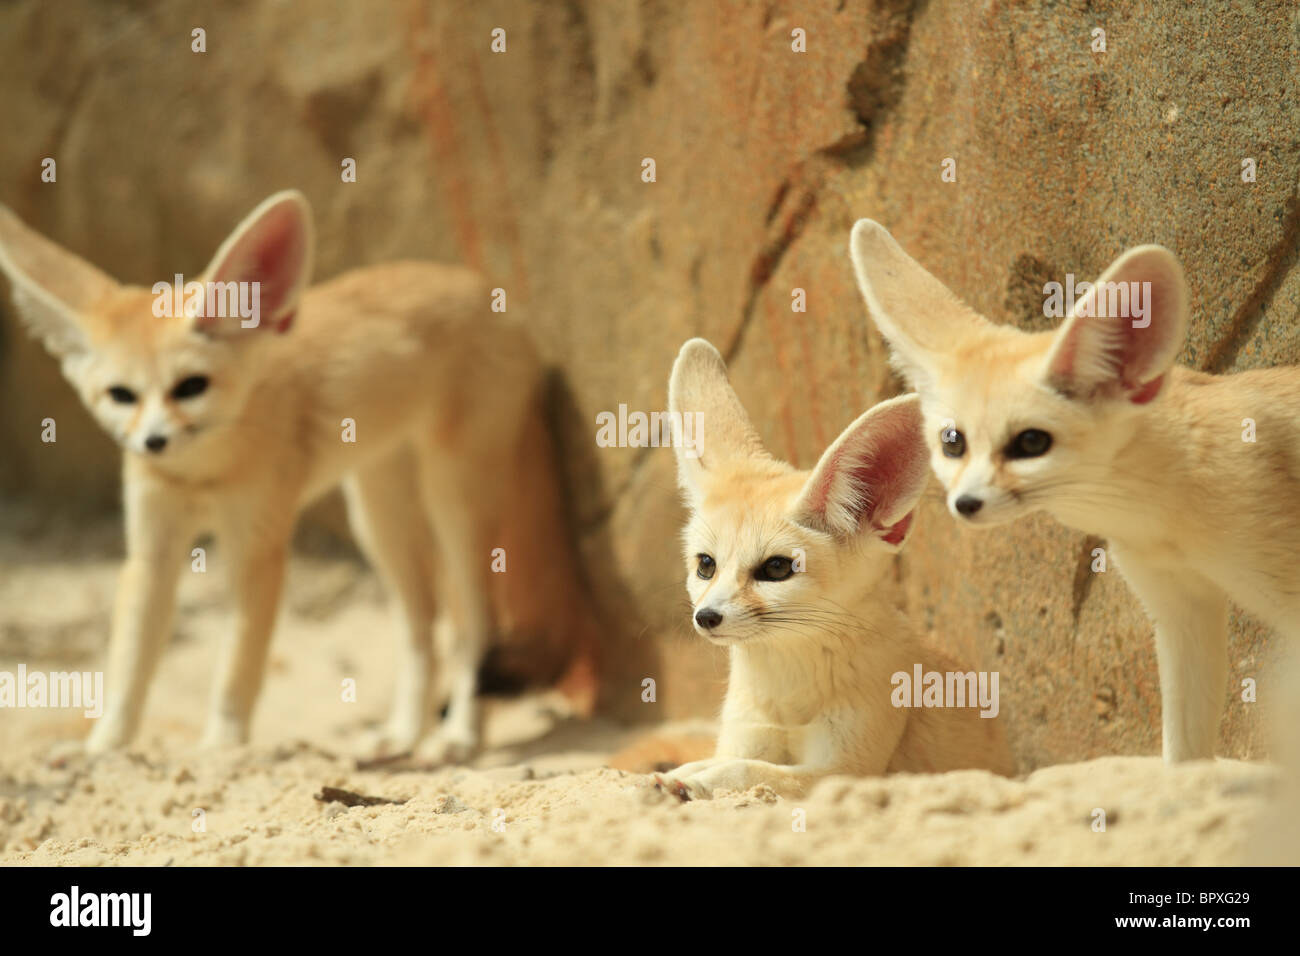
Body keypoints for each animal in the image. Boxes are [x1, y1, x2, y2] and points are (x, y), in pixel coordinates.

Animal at [0, 191, 599, 757]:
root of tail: (498, 302)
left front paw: (220, 748)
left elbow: (237, 666)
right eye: (121, 395)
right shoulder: (151, 551)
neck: (201, 476)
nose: (153, 442)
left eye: (190, 387)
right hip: (377, 518)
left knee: (475, 627)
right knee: (422, 629)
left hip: (454, 507)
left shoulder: (257, 550)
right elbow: (129, 667)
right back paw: (404, 734)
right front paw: (103, 748)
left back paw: (458, 736)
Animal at [652, 338, 1014, 800]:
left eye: (776, 568)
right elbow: (727, 759)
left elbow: (748, 770)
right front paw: (683, 774)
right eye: (706, 565)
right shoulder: (748, 735)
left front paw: (697, 782)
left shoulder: (845, 769)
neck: (787, 692)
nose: (706, 617)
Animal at [848, 217, 1300, 764]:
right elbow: (1184, 750)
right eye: (952, 441)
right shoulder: (1180, 610)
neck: (1172, 510)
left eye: (1031, 443)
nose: (965, 504)